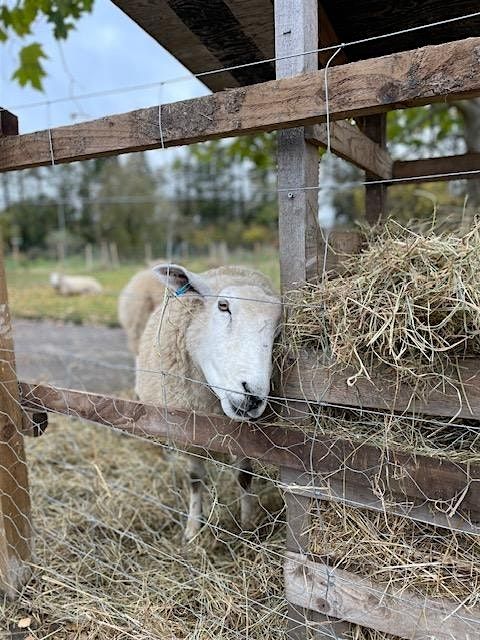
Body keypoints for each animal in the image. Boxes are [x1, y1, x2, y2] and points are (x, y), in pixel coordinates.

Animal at [135, 264, 282, 540]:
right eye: (223, 306)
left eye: (279, 326)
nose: (253, 395)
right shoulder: (186, 434)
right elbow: (195, 479)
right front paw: (193, 529)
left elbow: (244, 476)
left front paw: (248, 523)